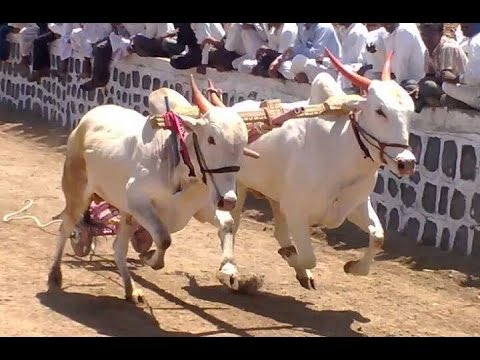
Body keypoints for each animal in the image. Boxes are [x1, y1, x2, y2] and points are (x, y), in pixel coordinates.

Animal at [47, 74, 260, 300]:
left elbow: (227, 224)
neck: (177, 163)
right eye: (211, 139)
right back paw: (55, 275)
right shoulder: (139, 203)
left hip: (126, 213)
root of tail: (87, 119)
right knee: (66, 226)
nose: (228, 200)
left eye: (244, 142)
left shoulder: (200, 208)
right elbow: (163, 238)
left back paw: (131, 290)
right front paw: (150, 258)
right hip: (77, 191)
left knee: (118, 249)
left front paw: (230, 271)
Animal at [200, 50, 416, 290]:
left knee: (277, 231)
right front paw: (291, 256)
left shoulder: (356, 205)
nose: (406, 162)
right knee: (231, 225)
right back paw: (229, 271)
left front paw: (353, 267)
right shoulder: (297, 212)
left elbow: (378, 237)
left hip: (275, 197)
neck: (340, 153)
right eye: (380, 111)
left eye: (411, 113)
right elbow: (309, 257)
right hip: (238, 188)